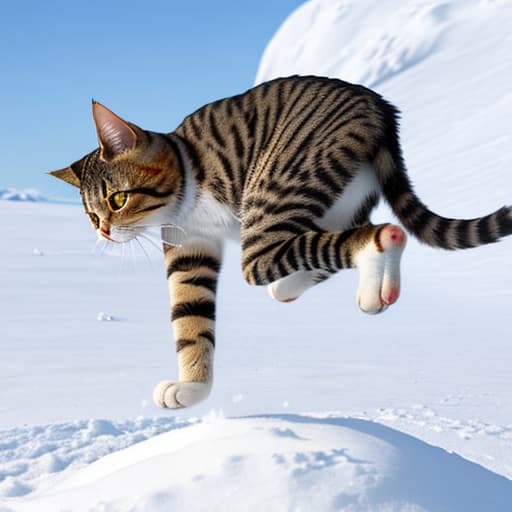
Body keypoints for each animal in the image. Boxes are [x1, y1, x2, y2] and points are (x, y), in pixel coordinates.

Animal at [49, 75, 512, 408]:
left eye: (118, 199)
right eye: (92, 215)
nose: (104, 231)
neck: (187, 170)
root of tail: (380, 107)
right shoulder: (189, 249)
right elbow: (190, 321)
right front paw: (193, 389)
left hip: (274, 195)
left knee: (365, 236)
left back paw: (365, 259)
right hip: (339, 202)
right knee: (328, 247)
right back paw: (350, 290)